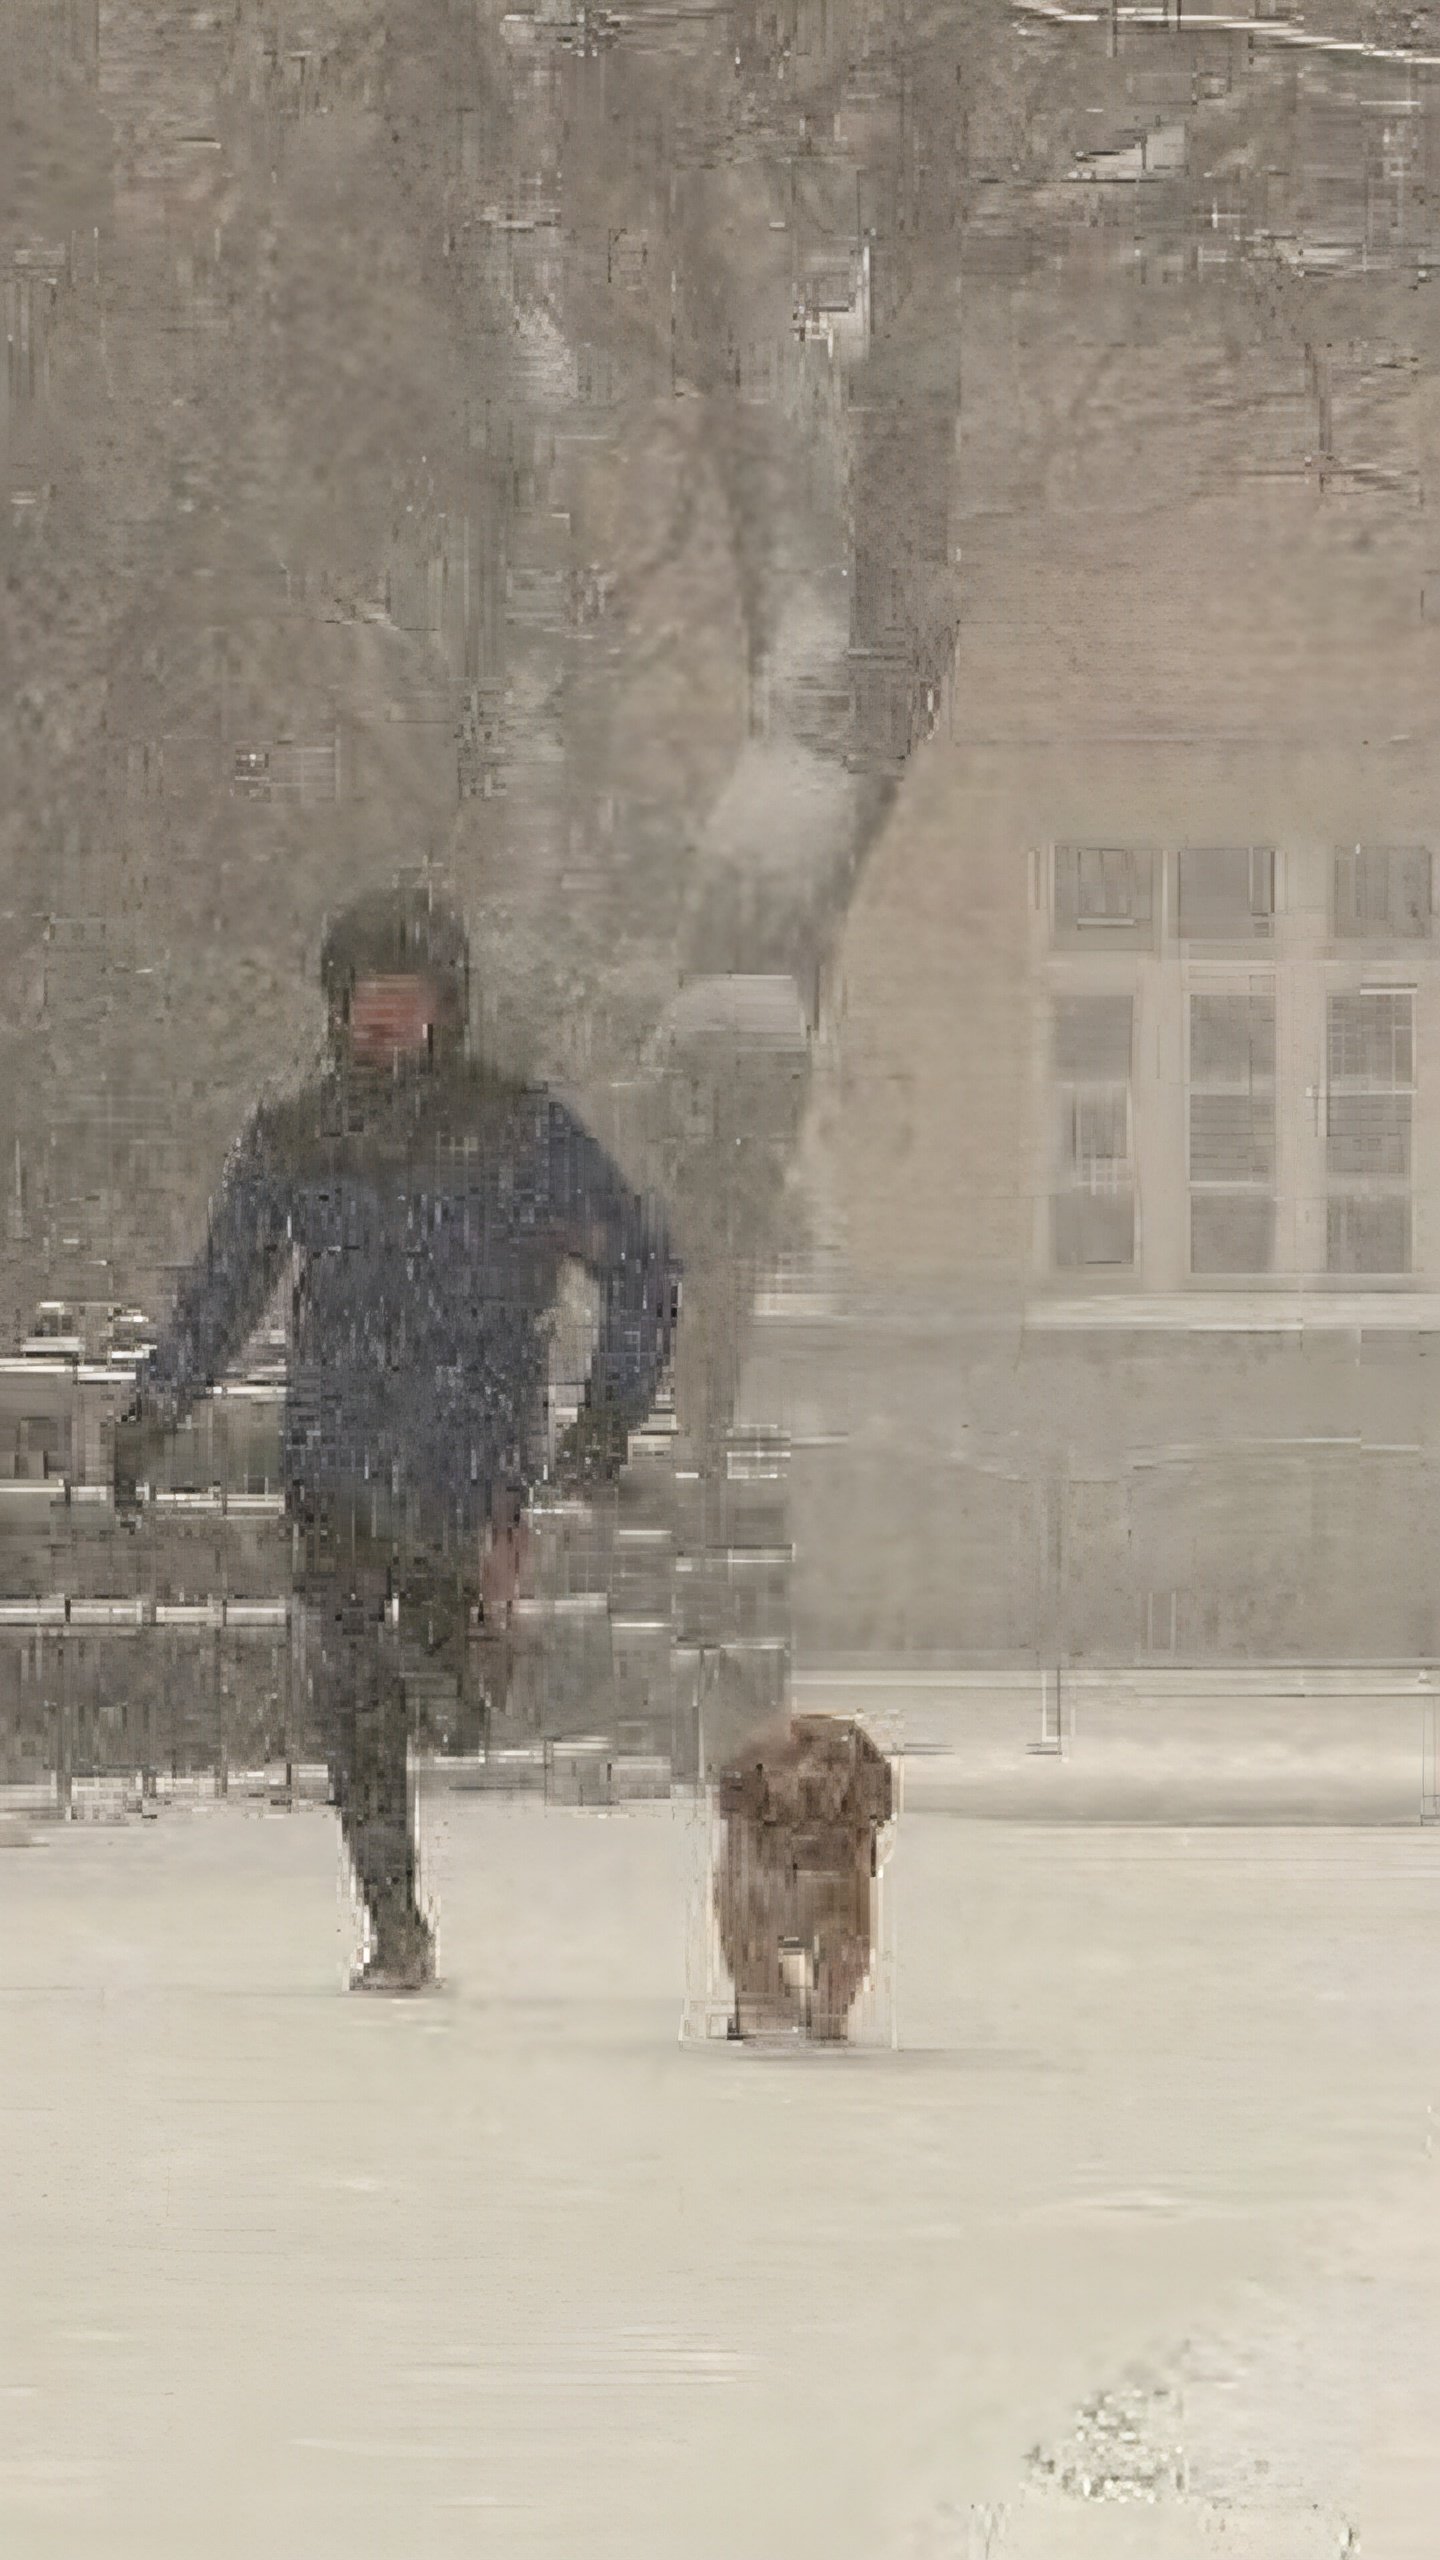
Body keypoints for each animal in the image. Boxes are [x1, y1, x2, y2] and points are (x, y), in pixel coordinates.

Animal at [712, 1710, 891, 2048]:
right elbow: (759, 1967)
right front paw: (777, 2021)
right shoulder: (748, 1916)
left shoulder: (845, 1914)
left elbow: (840, 1966)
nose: (732, 1780)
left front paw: (825, 2031)